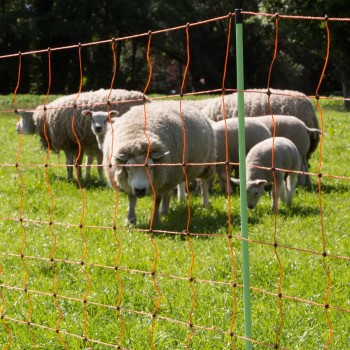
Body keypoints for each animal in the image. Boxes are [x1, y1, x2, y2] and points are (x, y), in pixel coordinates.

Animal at [15, 89, 145, 182]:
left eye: (23, 117)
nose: (16, 128)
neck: (43, 119)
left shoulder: (67, 142)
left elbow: (69, 163)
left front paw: (71, 179)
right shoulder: (79, 144)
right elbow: (78, 163)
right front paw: (80, 178)